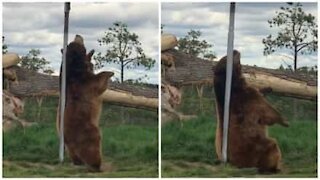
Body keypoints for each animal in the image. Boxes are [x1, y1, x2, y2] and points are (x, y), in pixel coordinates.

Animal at [57, 35, 114, 172]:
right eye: (79, 42)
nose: (78, 35)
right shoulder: (85, 83)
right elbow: (98, 83)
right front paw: (109, 73)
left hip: (70, 147)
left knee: (75, 155)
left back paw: (78, 162)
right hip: (89, 133)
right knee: (92, 150)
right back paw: (97, 166)